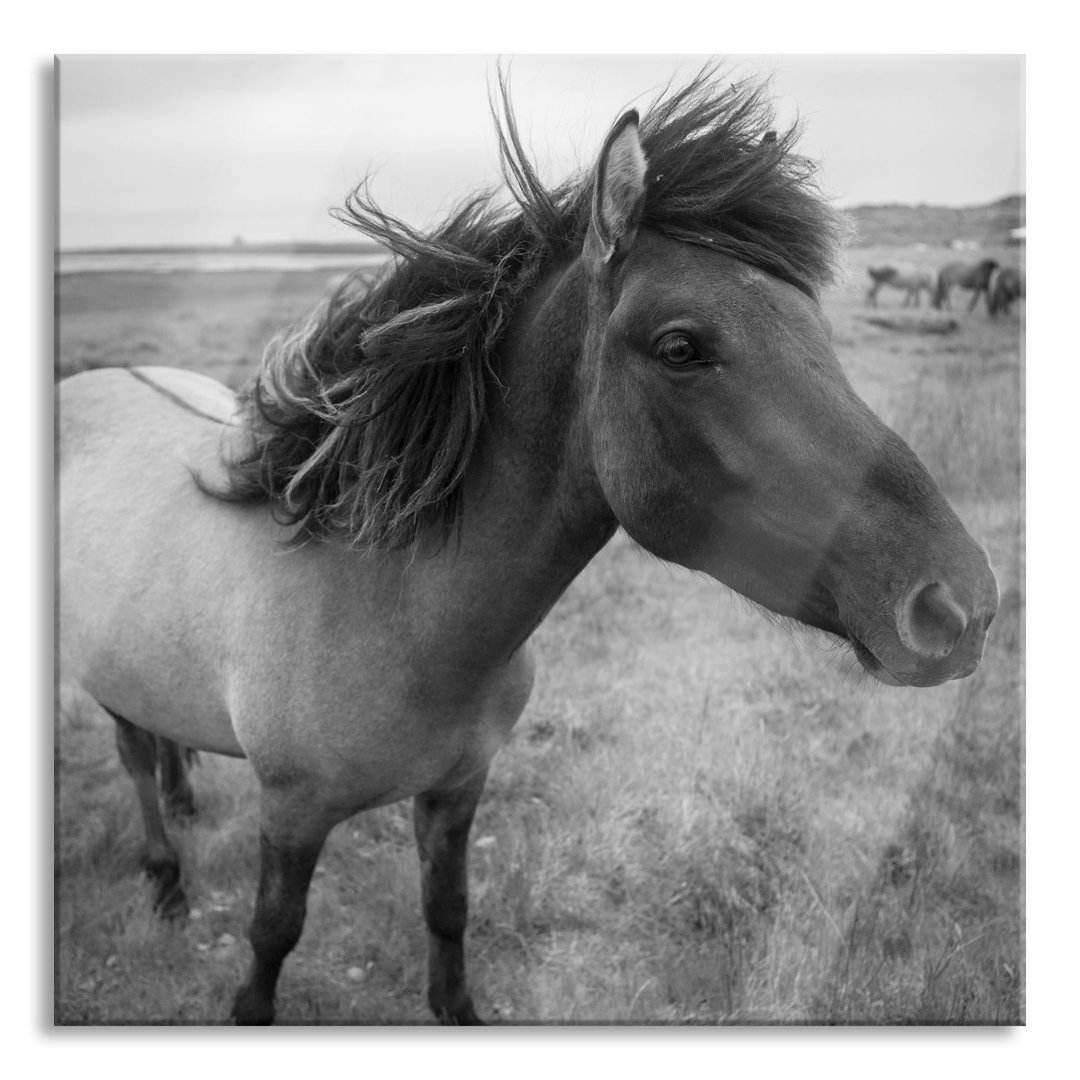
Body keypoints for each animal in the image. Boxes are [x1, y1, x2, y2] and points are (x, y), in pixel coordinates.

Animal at [56, 71, 993, 1023]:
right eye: (681, 346)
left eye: (820, 330)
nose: (958, 604)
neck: (389, 609)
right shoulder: (291, 815)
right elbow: (271, 938)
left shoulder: (458, 791)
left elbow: (447, 909)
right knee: (133, 758)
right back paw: (165, 879)